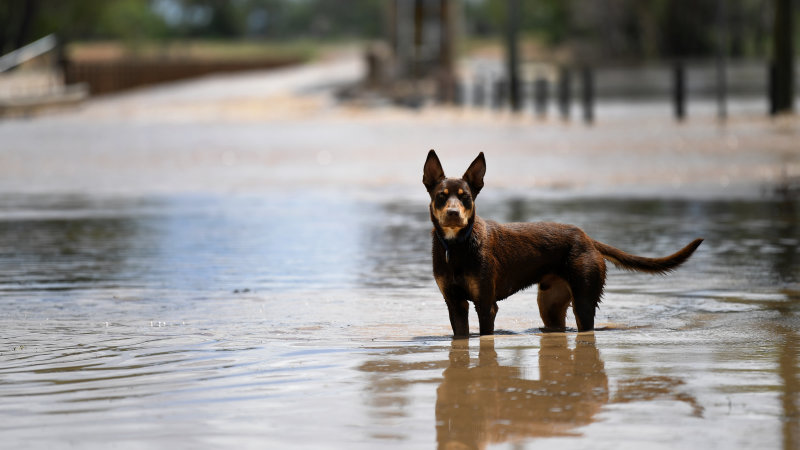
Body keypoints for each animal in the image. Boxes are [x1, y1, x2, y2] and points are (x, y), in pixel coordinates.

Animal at [422, 151, 704, 338]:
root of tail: (587, 238)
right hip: (550, 304)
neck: (456, 247)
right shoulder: (455, 303)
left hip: (584, 298)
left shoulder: (486, 304)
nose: (453, 214)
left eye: (466, 197)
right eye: (441, 196)